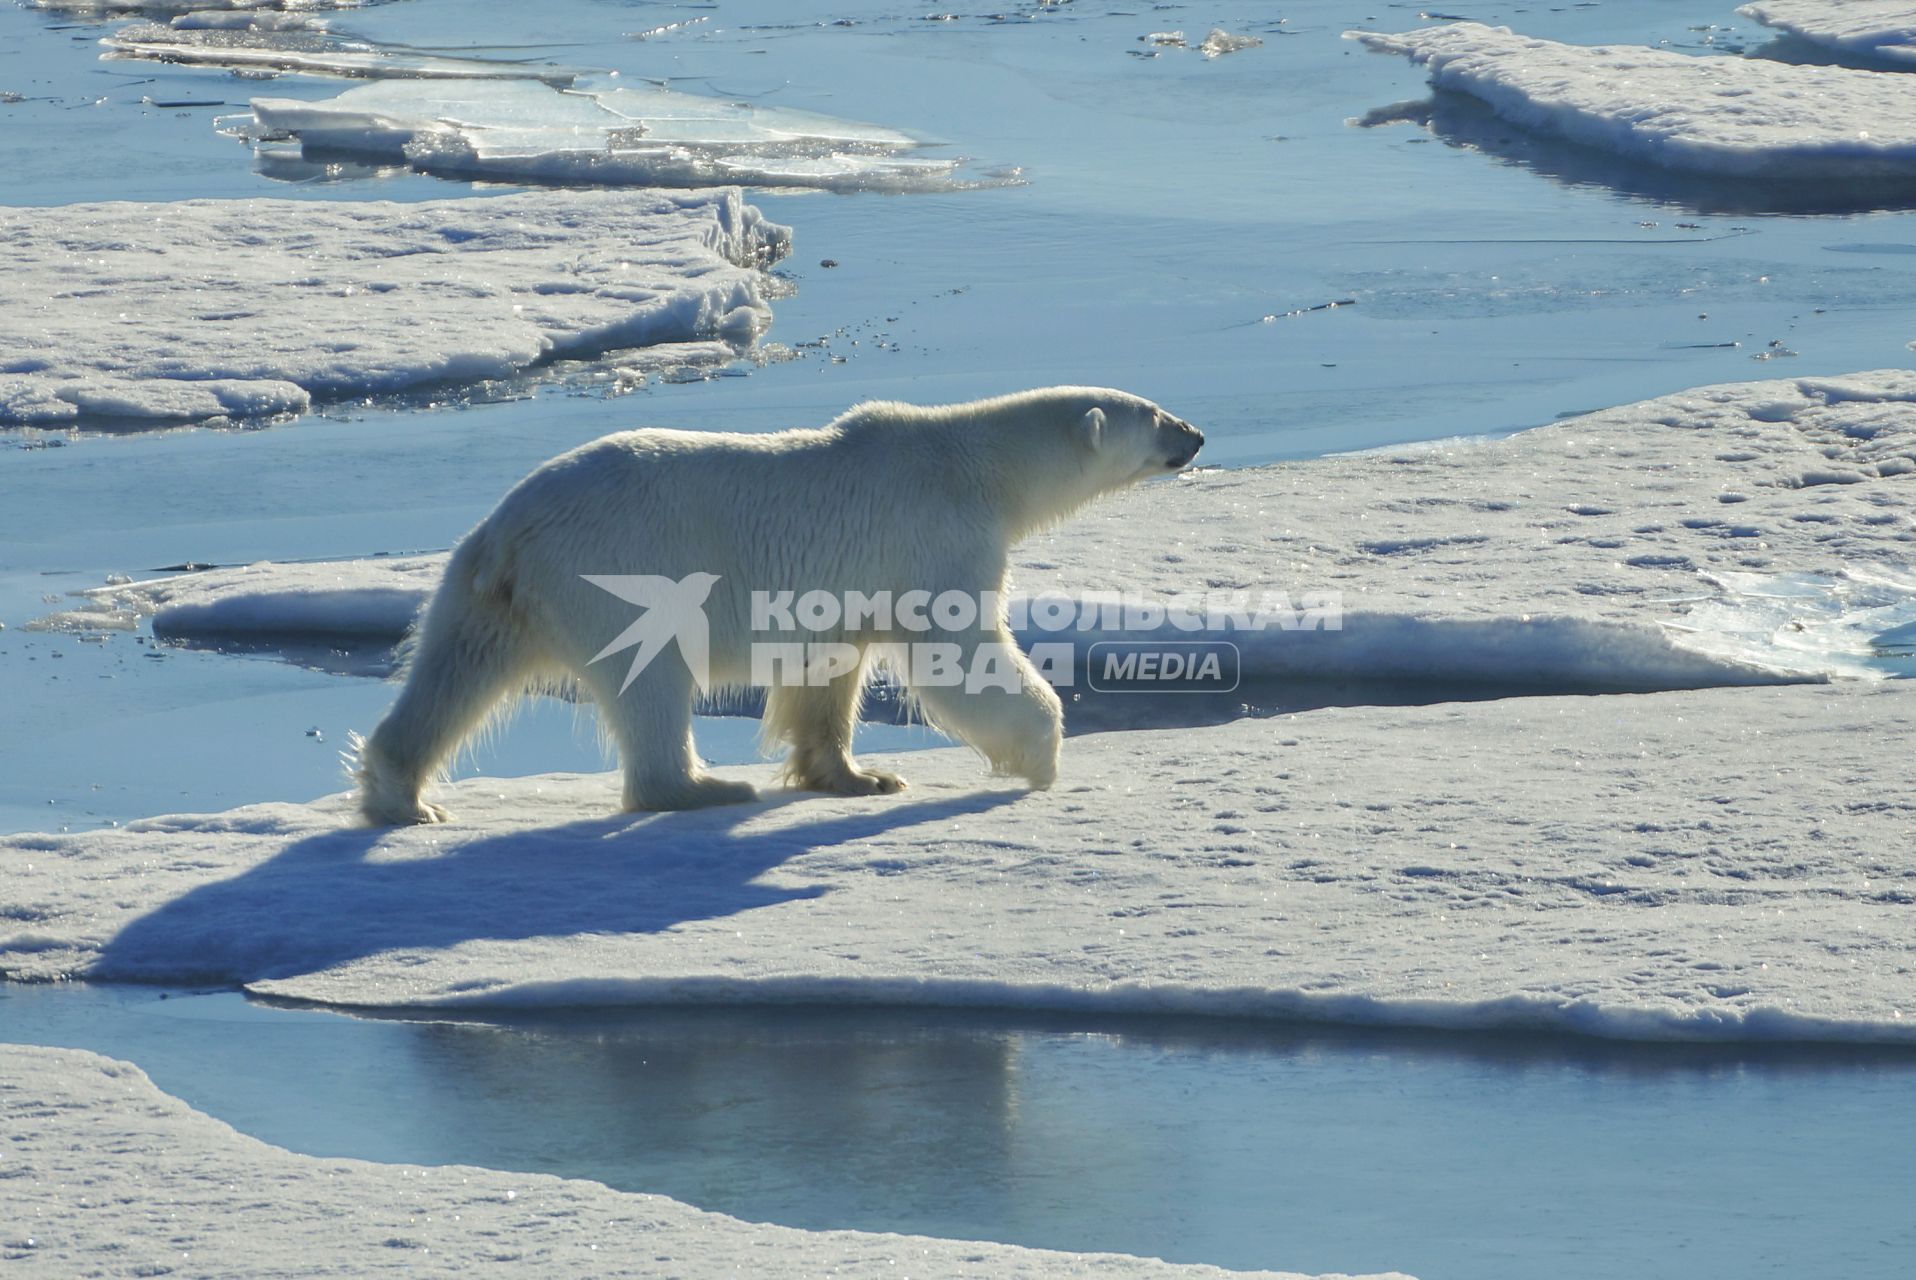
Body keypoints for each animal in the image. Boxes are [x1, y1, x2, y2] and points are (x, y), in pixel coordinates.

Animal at [356, 383, 1195, 820]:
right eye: (1153, 414)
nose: (1196, 434)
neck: (971, 463)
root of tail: (509, 532)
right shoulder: (936, 534)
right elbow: (959, 654)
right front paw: (1043, 756)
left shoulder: (847, 592)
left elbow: (828, 678)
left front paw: (860, 777)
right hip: (618, 570)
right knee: (652, 681)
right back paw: (703, 787)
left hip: (482, 591)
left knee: (453, 674)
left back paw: (404, 798)